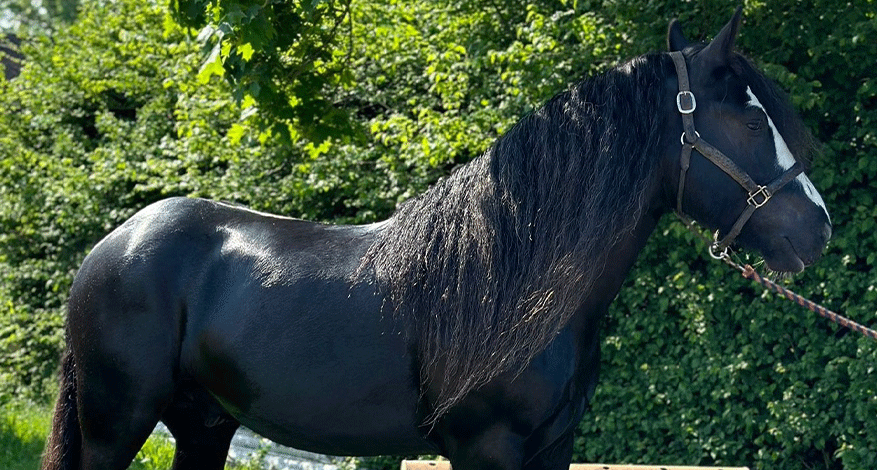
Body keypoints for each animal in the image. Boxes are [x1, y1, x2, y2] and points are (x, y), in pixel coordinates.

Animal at [44, 10, 832, 470]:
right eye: (750, 119)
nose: (818, 228)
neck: (516, 280)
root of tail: (114, 244)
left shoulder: (553, 451)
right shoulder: (487, 451)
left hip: (204, 426)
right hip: (116, 422)